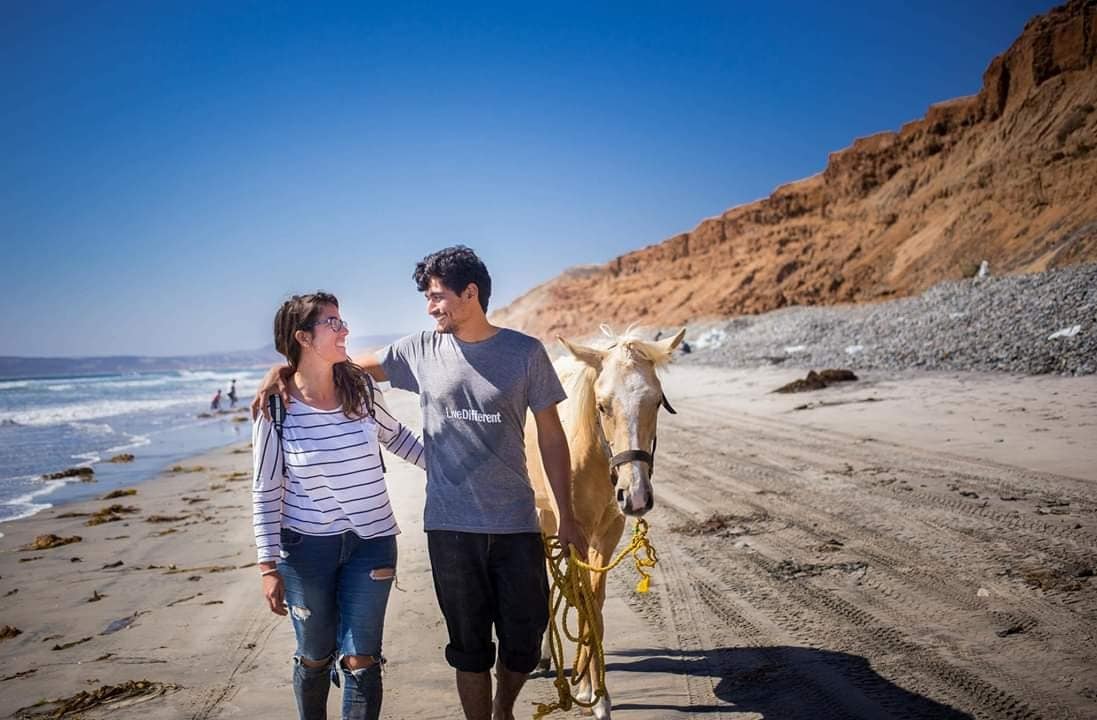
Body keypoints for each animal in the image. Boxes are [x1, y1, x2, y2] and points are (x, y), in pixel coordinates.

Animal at [524, 327, 684, 720]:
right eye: (602, 406)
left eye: (656, 402)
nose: (636, 495)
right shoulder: (574, 533)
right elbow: (580, 598)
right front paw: (589, 689)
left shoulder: (608, 533)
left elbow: (593, 603)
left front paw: (591, 689)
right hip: (543, 514)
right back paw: (544, 657)